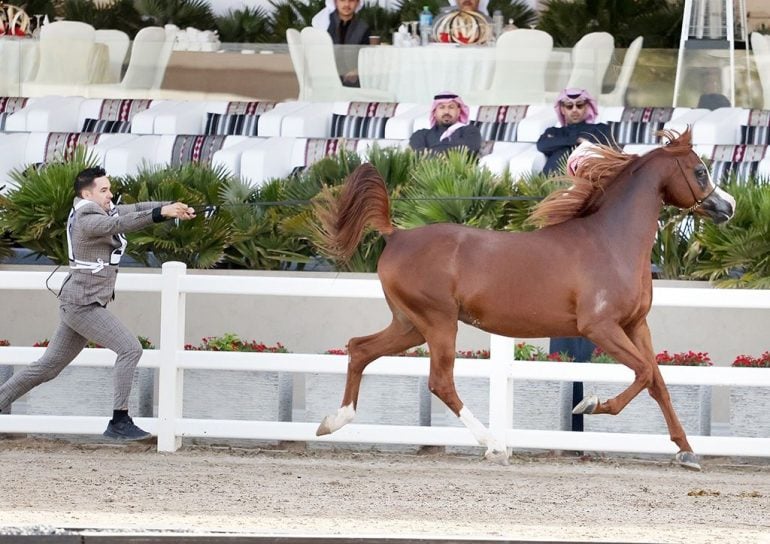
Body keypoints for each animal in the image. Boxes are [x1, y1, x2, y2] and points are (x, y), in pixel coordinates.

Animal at [310, 130, 732, 470]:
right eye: (699, 171)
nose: (728, 207)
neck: (611, 242)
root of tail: (396, 235)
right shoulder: (599, 327)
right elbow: (643, 373)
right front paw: (591, 405)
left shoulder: (635, 325)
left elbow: (658, 381)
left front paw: (687, 451)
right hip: (437, 322)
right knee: (440, 382)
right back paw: (495, 446)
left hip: (410, 325)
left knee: (360, 349)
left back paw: (332, 422)